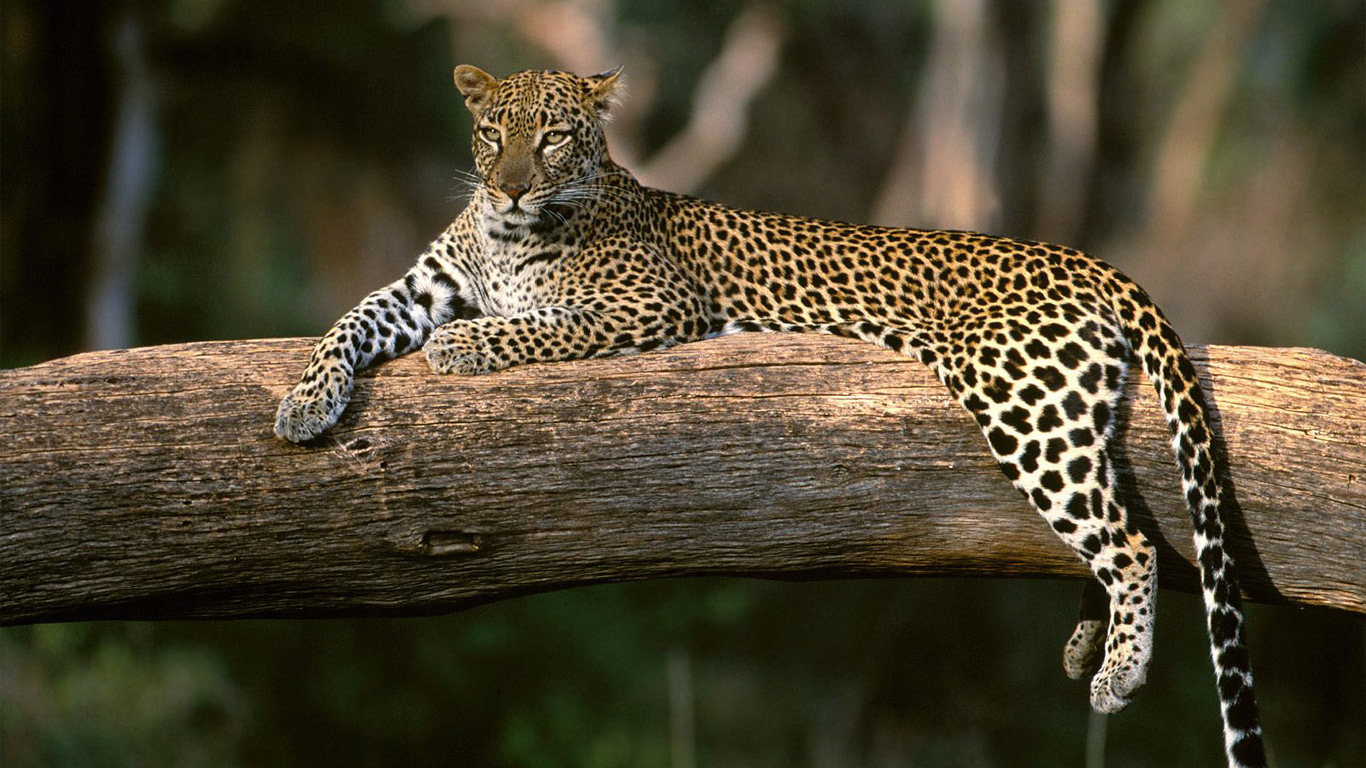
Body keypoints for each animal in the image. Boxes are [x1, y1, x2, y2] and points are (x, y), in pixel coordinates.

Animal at [274, 65, 1266, 767]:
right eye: (493, 133)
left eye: (553, 138)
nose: (513, 186)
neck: (507, 232)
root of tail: (1086, 259)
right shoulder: (418, 289)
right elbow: (350, 321)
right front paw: (302, 404)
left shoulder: (646, 305)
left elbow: (528, 326)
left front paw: (461, 348)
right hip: (1065, 409)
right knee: (1112, 520)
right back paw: (1085, 643)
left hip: (1021, 399)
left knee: (1130, 540)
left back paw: (1117, 672)